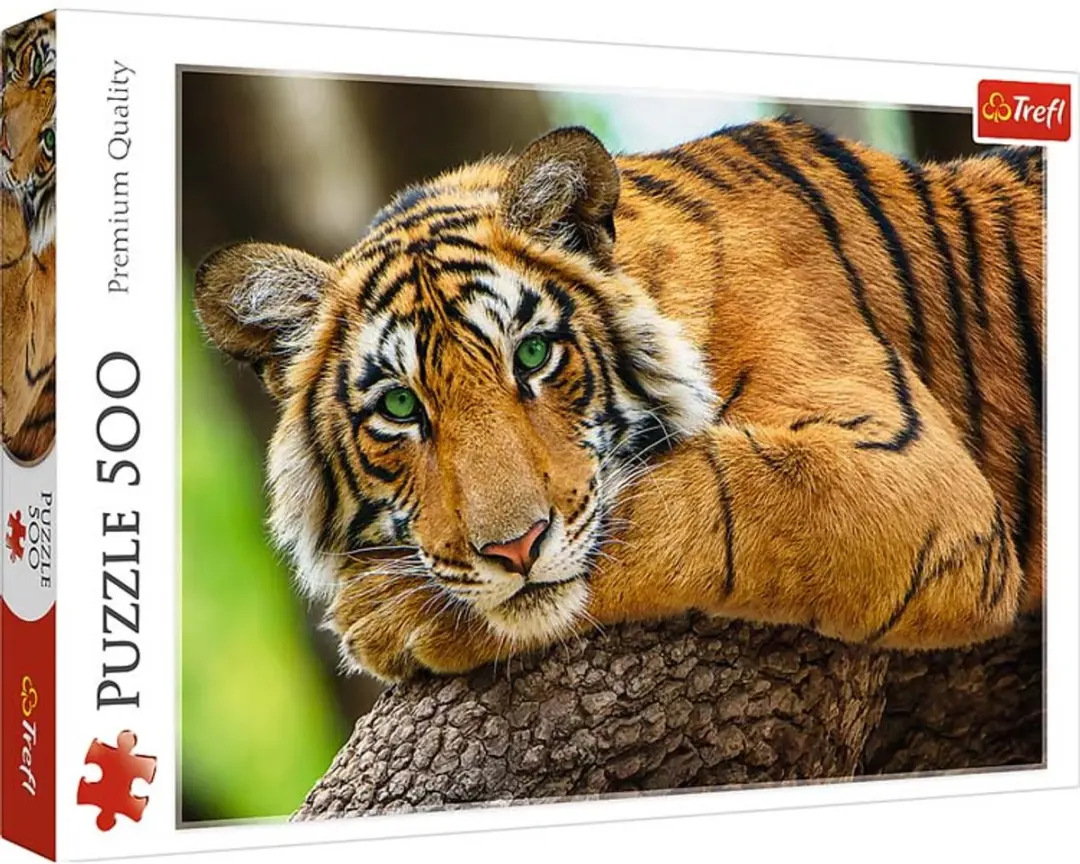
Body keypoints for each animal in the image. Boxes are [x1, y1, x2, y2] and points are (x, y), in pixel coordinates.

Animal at [194, 115, 1043, 683]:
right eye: (401, 408)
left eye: (533, 355)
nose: (513, 550)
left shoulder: (913, 476)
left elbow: (697, 498)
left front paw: (387, 613)